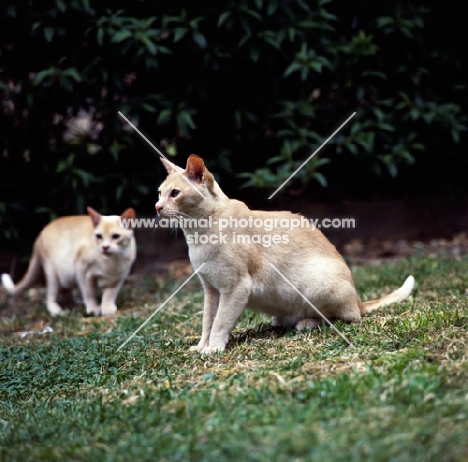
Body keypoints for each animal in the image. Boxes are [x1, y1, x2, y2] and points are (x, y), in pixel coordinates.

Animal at [1, 208, 137, 316]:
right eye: (99, 236)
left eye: (116, 236)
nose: (105, 247)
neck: (112, 261)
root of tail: (40, 234)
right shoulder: (82, 271)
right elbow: (89, 293)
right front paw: (93, 309)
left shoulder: (118, 279)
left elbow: (109, 294)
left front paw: (107, 308)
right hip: (54, 275)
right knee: (51, 296)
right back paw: (56, 310)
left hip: (66, 277)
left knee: (66, 291)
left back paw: (75, 302)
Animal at [155, 154, 414, 354]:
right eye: (159, 193)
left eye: (175, 193)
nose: (156, 208)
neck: (198, 233)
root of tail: (359, 300)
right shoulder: (211, 290)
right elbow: (207, 322)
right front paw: (202, 346)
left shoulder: (235, 288)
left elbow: (220, 322)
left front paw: (213, 348)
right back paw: (282, 321)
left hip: (318, 287)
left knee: (347, 317)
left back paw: (307, 323)